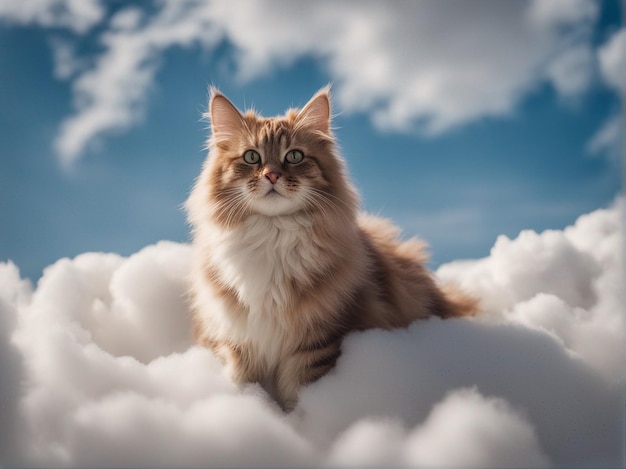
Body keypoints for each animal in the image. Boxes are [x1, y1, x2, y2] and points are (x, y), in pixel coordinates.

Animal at [183, 87, 476, 410]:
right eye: (251, 157)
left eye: (294, 156)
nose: (271, 176)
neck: (273, 233)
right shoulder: (237, 340)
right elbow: (244, 383)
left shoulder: (318, 342)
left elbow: (301, 394)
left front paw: (299, 421)